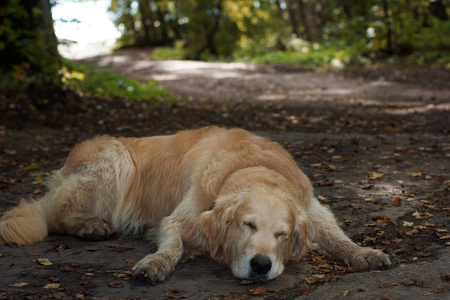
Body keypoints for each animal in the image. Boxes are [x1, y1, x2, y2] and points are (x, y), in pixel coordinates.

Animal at [0, 126, 388, 282]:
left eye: (282, 234)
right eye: (247, 225)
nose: (261, 266)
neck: (251, 165)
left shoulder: (313, 210)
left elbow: (338, 237)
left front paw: (365, 253)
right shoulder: (177, 219)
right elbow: (171, 245)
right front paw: (155, 263)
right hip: (115, 158)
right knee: (55, 215)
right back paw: (89, 225)